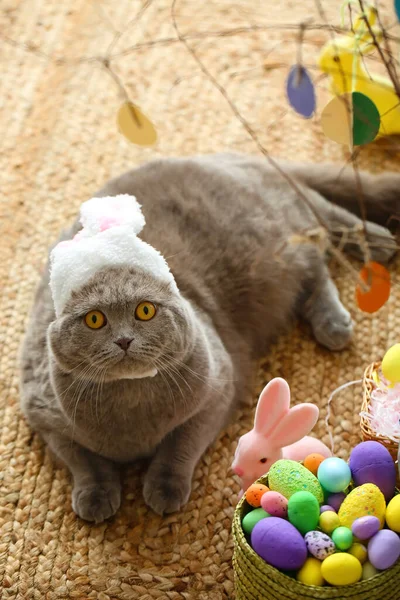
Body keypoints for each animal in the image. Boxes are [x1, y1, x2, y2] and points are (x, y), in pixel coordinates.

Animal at [19, 154, 400, 520]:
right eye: (95, 319)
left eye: (145, 311)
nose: (124, 340)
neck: (132, 404)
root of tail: (228, 157)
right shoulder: (44, 414)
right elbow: (82, 460)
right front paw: (95, 496)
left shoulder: (216, 389)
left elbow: (181, 445)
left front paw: (165, 488)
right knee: (317, 259)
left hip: (283, 227)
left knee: (325, 225)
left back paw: (376, 250)